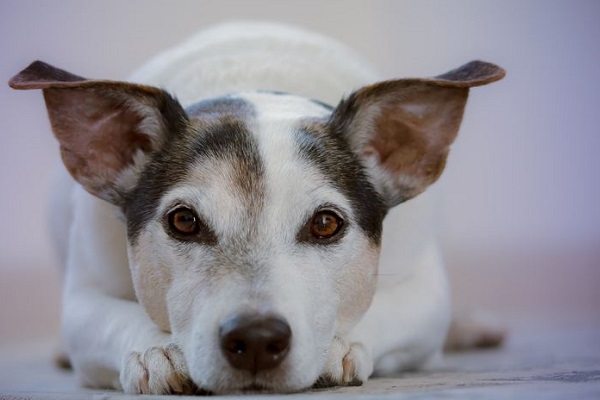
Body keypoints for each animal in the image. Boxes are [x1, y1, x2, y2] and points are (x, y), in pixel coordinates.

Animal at [10, 21, 506, 394]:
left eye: (326, 224)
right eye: (183, 221)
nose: (255, 339)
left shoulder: (426, 293)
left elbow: (386, 309)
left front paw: (337, 346)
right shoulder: (83, 298)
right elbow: (111, 317)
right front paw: (157, 350)